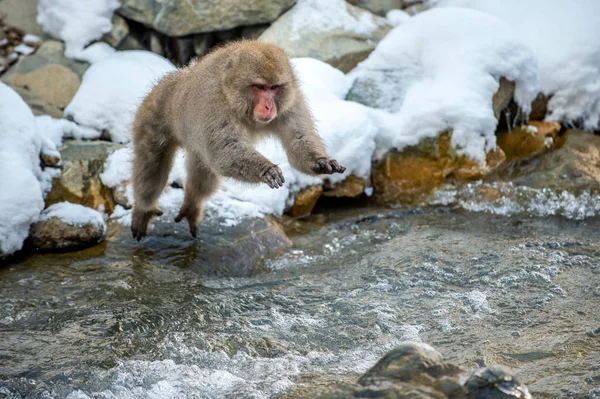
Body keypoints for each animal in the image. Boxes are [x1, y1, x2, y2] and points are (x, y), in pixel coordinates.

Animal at [131, 39, 346, 241]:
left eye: (274, 88)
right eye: (259, 87)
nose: (269, 106)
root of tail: (176, 78)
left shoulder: (291, 102)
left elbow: (298, 140)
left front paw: (321, 162)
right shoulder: (214, 103)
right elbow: (224, 151)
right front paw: (267, 170)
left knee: (203, 172)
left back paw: (192, 205)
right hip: (153, 113)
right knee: (151, 168)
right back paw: (143, 208)